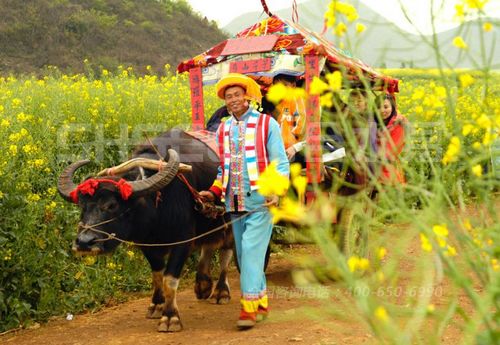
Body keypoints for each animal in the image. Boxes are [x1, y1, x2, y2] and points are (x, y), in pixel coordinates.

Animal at [57, 128, 233, 330]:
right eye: (82, 205)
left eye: (112, 205)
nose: (85, 242)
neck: (158, 203)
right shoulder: (146, 243)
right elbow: (157, 274)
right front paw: (157, 305)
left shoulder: (184, 240)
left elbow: (169, 279)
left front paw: (170, 317)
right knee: (209, 245)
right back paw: (203, 285)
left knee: (226, 253)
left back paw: (221, 292)